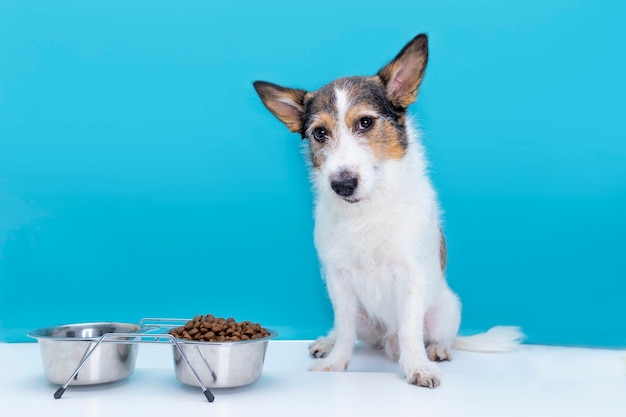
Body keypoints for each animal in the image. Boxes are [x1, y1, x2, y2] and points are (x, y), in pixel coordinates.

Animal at [252, 33, 520, 386]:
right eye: (319, 133)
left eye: (365, 122)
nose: (342, 184)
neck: (368, 207)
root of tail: (385, 340)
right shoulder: (337, 279)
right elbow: (345, 329)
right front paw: (335, 363)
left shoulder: (411, 276)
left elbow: (410, 330)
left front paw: (418, 366)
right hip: (363, 315)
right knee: (347, 330)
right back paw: (328, 341)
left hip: (446, 309)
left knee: (434, 336)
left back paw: (435, 349)